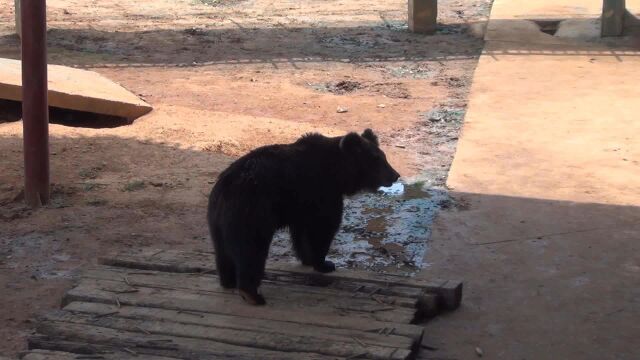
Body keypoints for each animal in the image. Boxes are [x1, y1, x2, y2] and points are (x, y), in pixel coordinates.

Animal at [208, 128, 400, 306]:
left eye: (384, 156)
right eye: (376, 159)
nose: (395, 175)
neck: (338, 173)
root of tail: (226, 187)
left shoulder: (302, 204)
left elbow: (302, 232)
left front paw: (308, 259)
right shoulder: (321, 192)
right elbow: (323, 227)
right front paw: (325, 263)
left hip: (218, 221)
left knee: (223, 251)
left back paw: (228, 281)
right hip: (253, 212)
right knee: (252, 250)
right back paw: (252, 294)